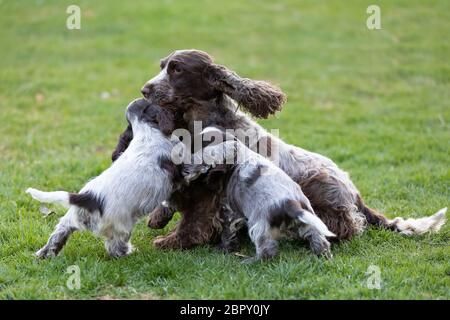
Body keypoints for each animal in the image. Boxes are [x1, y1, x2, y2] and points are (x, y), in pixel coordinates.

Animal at [183, 127, 334, 262]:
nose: (183, 169)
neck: (239, 156)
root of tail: (291, 204)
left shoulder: (230, 211)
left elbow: (227, 232)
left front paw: (223, 249)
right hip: (308, 220)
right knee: (319, 239)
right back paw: (323, 255)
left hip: (258, 225)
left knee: (267, 250)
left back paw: (251, 261)